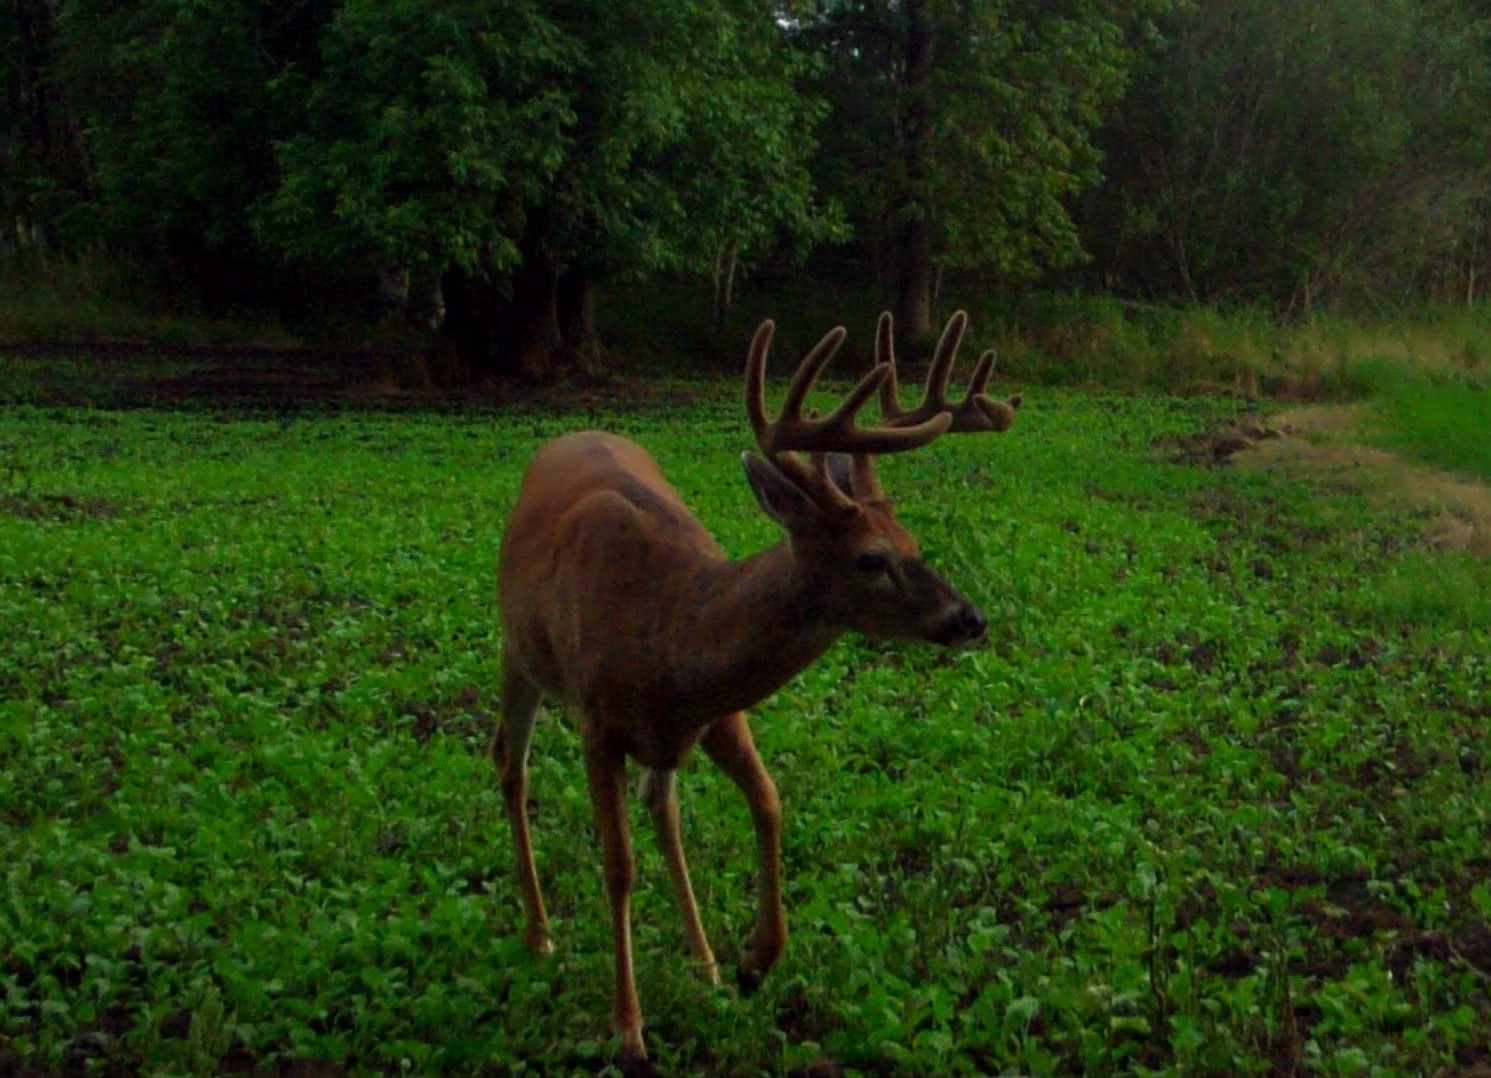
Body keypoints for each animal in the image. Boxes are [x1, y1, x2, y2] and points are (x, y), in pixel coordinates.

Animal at [495, 307, 1019, 1067]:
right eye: (871, 559)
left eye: (913, 542)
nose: (969, 618)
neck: (669, 629)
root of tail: (569, 433)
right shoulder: (598, 722)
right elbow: (618, 865)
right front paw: (628, 1029)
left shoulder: (719, 712)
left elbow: (769, 802)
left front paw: (753, 960)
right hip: (518, 650)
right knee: (511, 766)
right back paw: (539, 933)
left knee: (662, 804)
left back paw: (704, 958)